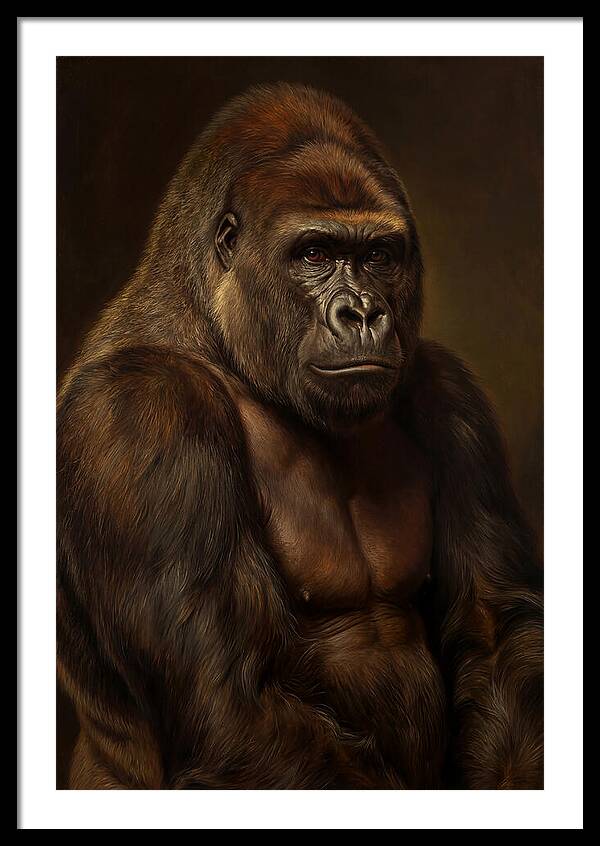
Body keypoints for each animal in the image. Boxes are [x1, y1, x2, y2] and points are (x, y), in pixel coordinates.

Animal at [57, 83, 543, 789]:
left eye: (378, 256)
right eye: (313, 254)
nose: (362, 313)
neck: (218, 335)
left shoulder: (449, 393)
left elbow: (495, 629)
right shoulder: (141, 411)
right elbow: (227, 702)